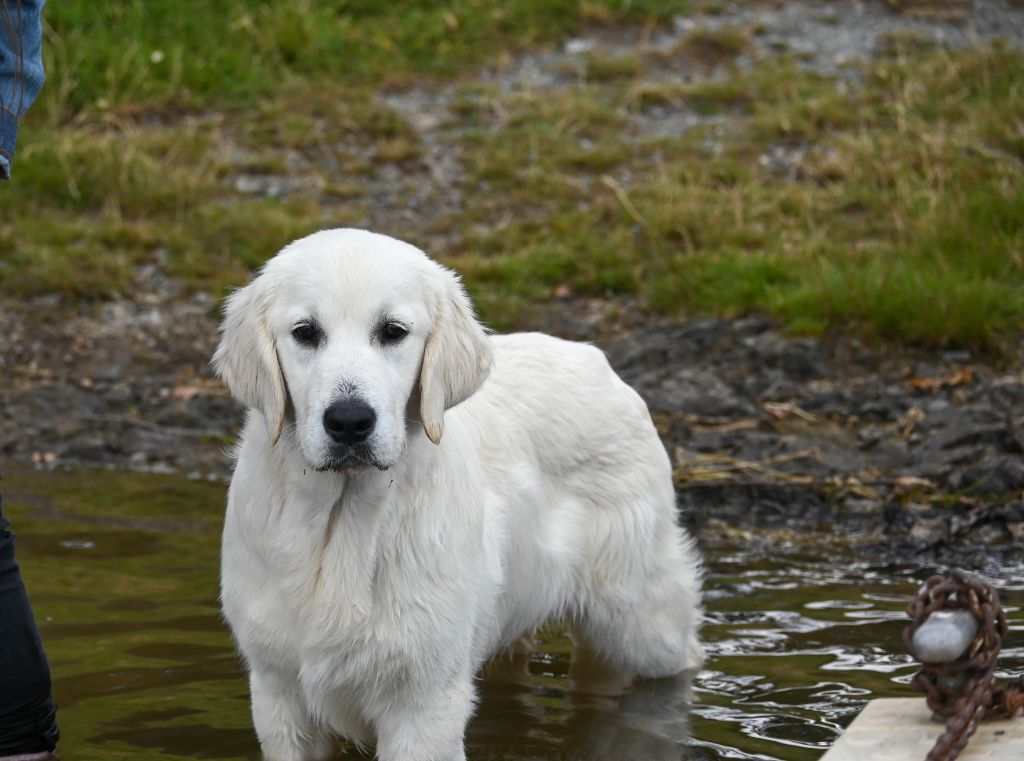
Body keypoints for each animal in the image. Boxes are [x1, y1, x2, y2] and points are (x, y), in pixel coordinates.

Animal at [211, 229, 700, 761]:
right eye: (304, 332)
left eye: (393, 331)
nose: (349, 421)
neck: (345, 518)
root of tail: (597, 360)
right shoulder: (279, 695)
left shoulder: (424, 705)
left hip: (640, 615)